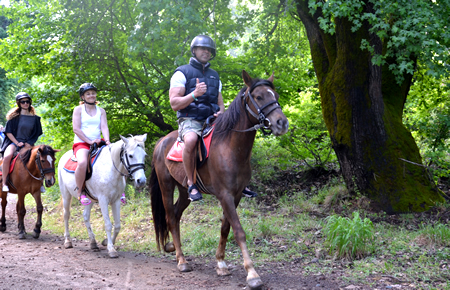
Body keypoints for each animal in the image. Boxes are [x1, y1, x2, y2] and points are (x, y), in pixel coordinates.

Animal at [149, 69, 290, 288]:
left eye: (275, 96)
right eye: (258, 97)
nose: (281, 123)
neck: (231, 147)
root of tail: (161, 141)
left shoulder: (236, 195)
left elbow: (225, 228)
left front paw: (221, 263)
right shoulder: (224, 195)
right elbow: (238, 231)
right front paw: (252, 274)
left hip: (184, 190)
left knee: (177, 214)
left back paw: (173, 247)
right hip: (166, 186)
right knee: (171, 218)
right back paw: (182, 260)